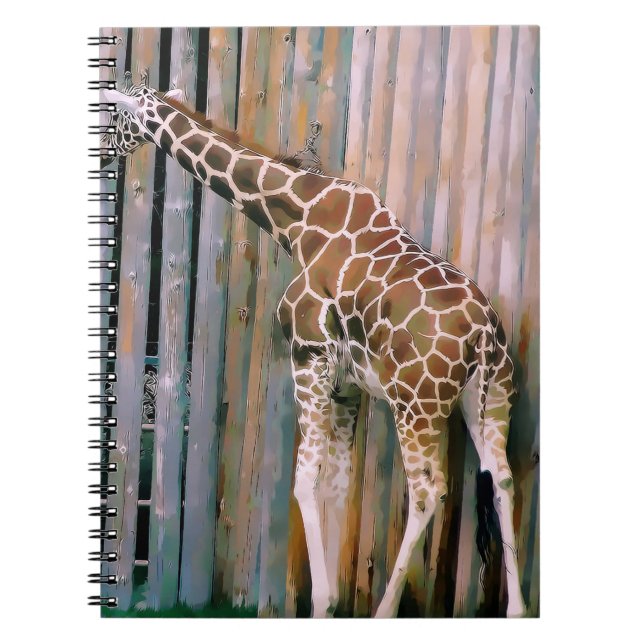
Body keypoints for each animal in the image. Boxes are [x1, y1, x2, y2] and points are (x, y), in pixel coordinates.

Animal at [102, 82, 527, 619]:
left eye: (117, 115)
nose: (105, 151)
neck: (296, 218)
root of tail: (485, 336)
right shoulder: (347, 385)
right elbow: (336, 485)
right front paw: (332, 599)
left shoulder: (308, 357)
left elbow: (305, 479)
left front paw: (322, 601)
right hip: (490, 399)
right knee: (503, 478)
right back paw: (516, 608)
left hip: (417, 405)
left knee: (428, 492)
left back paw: (384, 610)